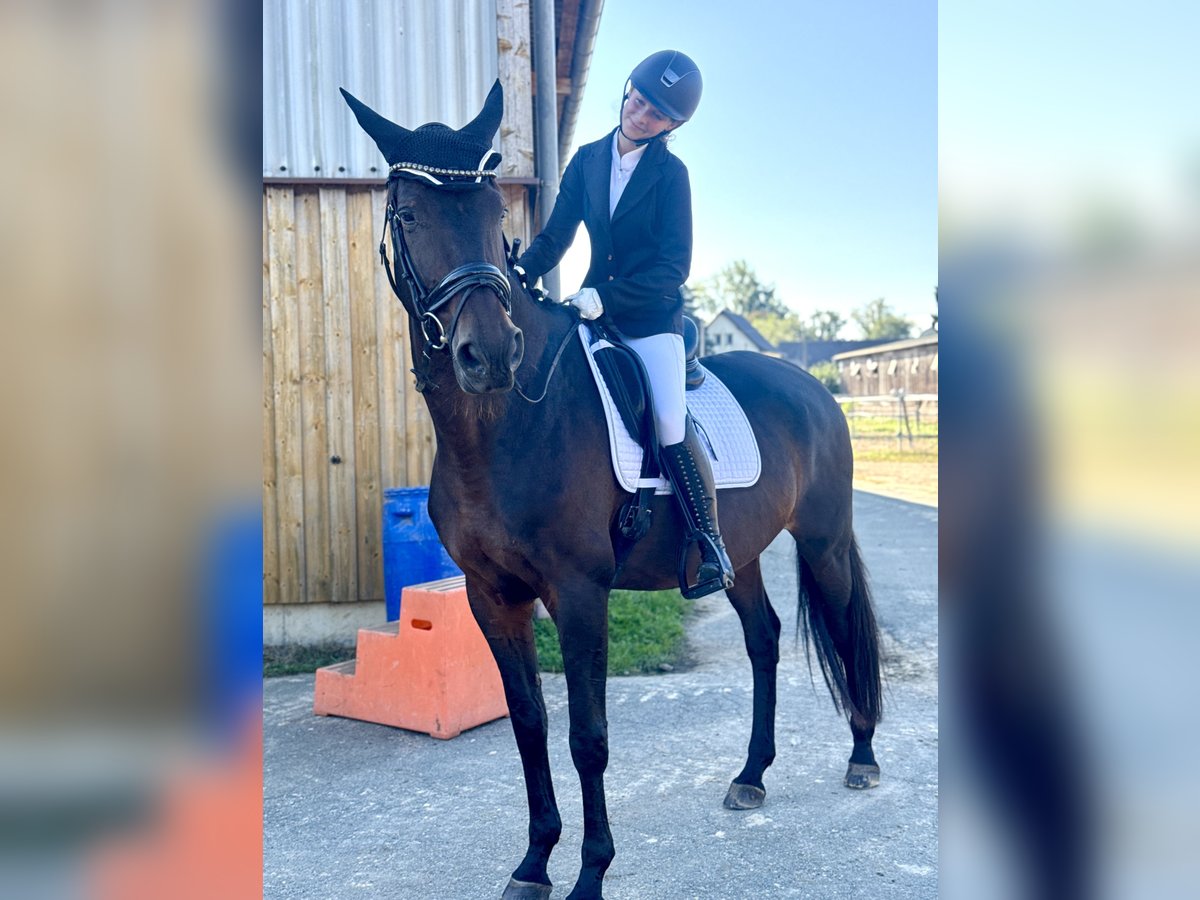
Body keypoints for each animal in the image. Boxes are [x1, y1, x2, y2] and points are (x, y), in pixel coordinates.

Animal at [354, 95, 883, 900]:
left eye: (493, 212)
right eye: (409, 215)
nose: (489, 355)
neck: (503, 427)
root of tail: (812, 388)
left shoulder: (579, 591)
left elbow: (589, 738)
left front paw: (590, 873)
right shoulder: (490, 594)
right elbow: (530, 725)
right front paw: (534, 863)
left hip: (822, 540)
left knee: (846, 626)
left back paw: (862, 756)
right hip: (742, 554)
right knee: (763, 640)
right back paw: (751, 775)